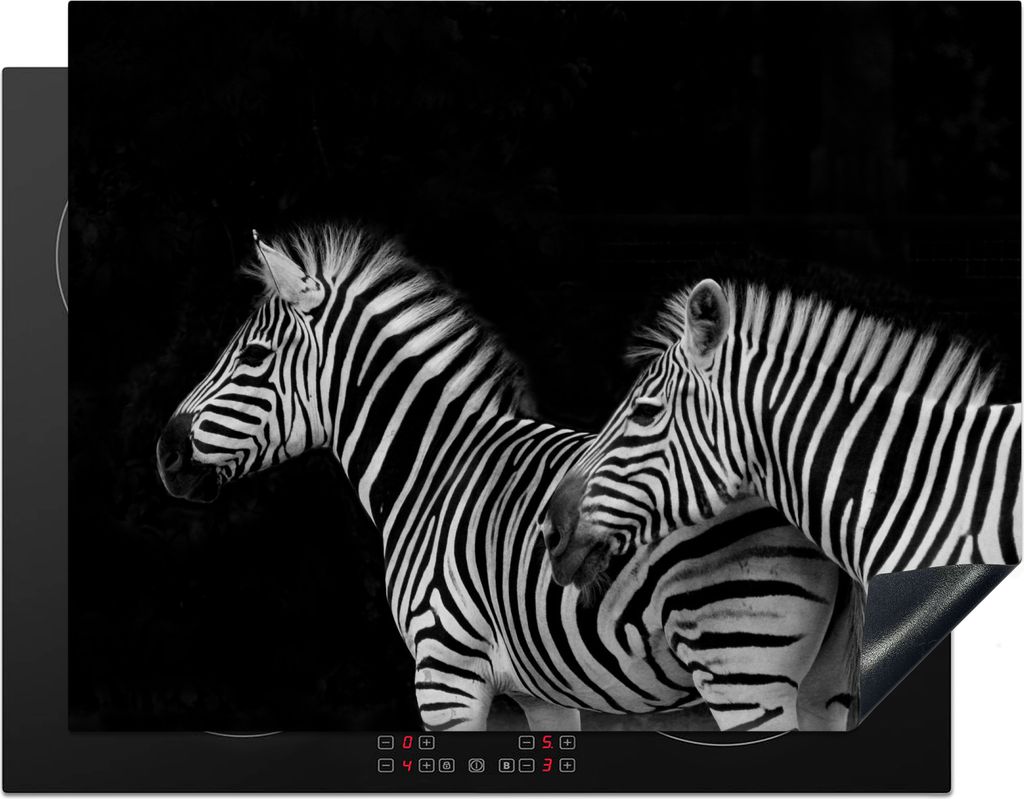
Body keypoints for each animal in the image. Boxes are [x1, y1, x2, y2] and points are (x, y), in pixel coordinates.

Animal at [156, 226, 860, 731]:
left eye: (252, 357)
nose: (164, 454)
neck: (434, 468)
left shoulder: (445, 674)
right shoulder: (546, 693)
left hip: (743, 663)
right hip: (821, 683)